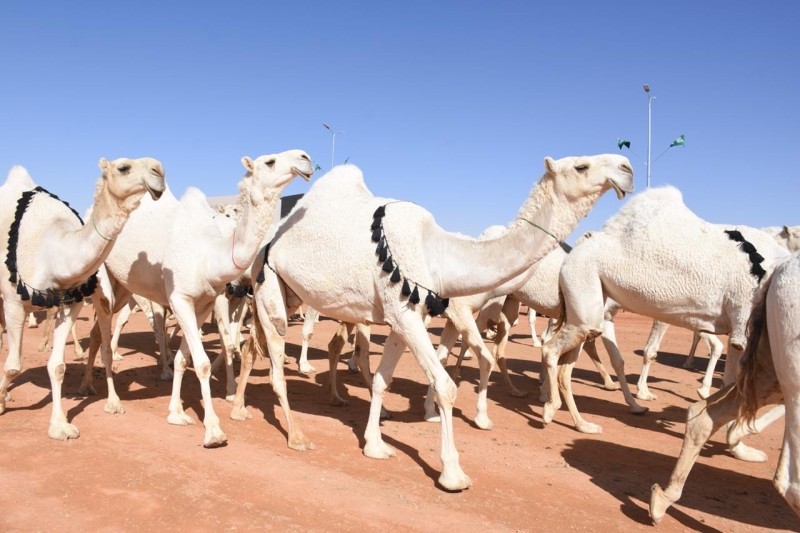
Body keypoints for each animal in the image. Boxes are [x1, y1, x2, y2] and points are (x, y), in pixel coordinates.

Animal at [0, 156, 165, 438]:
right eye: (123, 167)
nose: (159, 171)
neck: (55, 251)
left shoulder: (71, 302)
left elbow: (58, 366)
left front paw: (59, 425)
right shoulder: (13, 302)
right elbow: (13, 365)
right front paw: (1, 403)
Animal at [77, 150, 310, 444]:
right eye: (269, 161)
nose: (305, 157)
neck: (209, 255)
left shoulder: (203, 304)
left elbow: (184, 358)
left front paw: (176, 413)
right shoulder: (180, 298)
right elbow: (202, 364)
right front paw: (213, 430)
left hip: (124, 287)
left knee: (97, 333)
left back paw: (87, 386)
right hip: (101, 277)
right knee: (105, 335)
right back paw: (112, 402)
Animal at [234, 155, 636, 490]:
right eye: (581, 166)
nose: (627, 168)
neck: (438, 251)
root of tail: (266, 237)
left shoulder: (404, 316)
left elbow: (382, 380)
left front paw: (375, 445)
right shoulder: (406, 311)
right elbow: (445, 386)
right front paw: (453, 473)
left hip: (286, 295)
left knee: (254, 347)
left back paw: (240, 408)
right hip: (268, 285)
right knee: (276, 365)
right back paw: (296, 436)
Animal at [540, 185, 792, 460]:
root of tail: (573, 251)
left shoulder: (741, 336)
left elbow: (733, 382)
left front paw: (741, 449)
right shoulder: (745, 321)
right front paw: (739, 439)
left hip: (588, 311)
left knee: (568, 363)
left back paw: (584, 423)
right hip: (583, 292)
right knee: (550, 348)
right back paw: (550, 408)